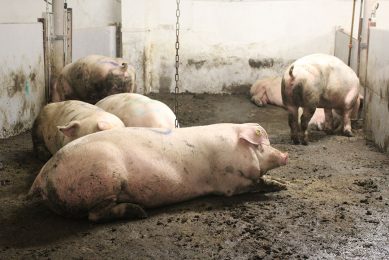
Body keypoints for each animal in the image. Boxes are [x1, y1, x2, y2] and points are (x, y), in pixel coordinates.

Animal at [28, 123, 288, 222]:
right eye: (260, 146)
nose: (285, 155)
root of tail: (42, 177)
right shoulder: (228, 183)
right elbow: (253, 184)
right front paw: (278, 185)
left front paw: (282, 184)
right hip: (104, 179)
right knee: (94, 215)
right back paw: (138, 212)